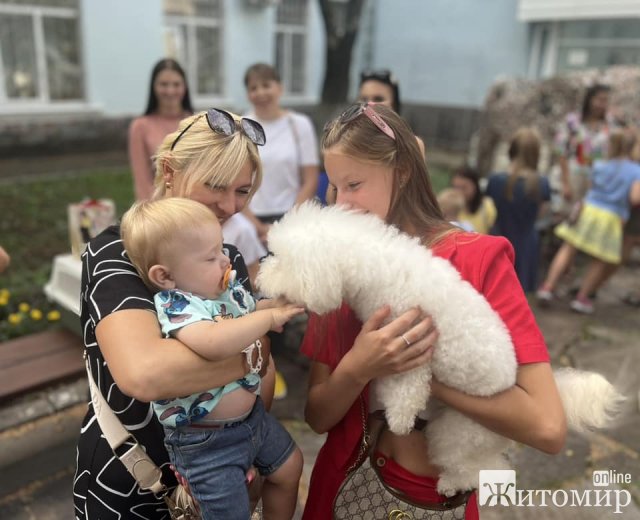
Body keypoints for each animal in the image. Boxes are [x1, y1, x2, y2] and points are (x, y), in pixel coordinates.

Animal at [256, 202, 624, 496]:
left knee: (484, 469)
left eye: (281, 260)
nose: (259, 279)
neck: (373, 267)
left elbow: (408, 390)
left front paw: (399, 420)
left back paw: (451, 483)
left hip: (462, 432)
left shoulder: (415, 348)